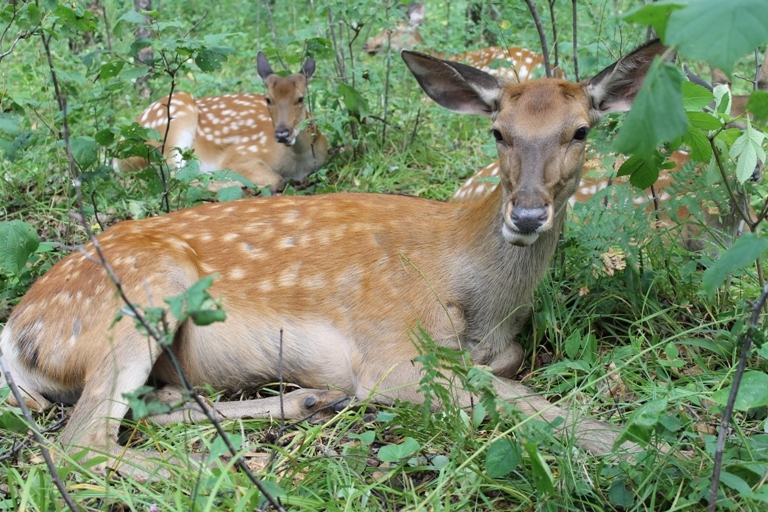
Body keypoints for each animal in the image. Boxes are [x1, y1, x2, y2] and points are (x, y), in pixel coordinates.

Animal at [120, 52, 328, 192]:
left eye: (300, 98)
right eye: (268, 99)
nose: (283, 134)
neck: (298, 162)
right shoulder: (240, 154)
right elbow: (276, 179)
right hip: (174, 120)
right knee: (176, 177)